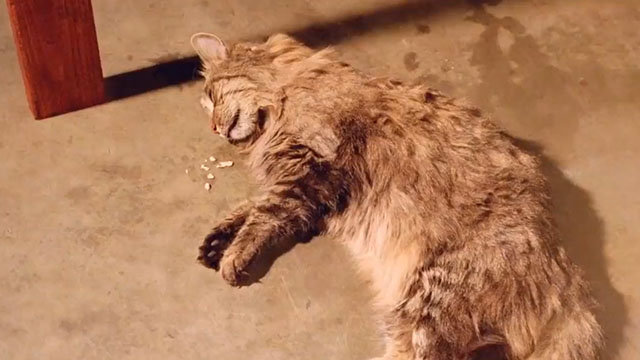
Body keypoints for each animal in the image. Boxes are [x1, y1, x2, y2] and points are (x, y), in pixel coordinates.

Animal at [189, 32, 600, 358]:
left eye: (212, 96)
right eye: (206, 105)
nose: (213, 129)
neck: (282, 100)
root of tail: (565, 269)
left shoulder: (312, 174)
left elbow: (264, 216)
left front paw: (234, 254)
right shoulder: (305, 192)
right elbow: (251, 207)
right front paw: (218, 240)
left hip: (432, 300)